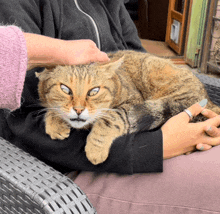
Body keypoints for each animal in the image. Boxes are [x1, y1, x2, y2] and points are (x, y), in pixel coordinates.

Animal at [35, 50, 220, 166]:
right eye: (65, 89)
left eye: (94, 91)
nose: (79, 110)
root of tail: (209, 100)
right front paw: (55, 124)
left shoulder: (131, 104)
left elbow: (110, 118)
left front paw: (96, 149)